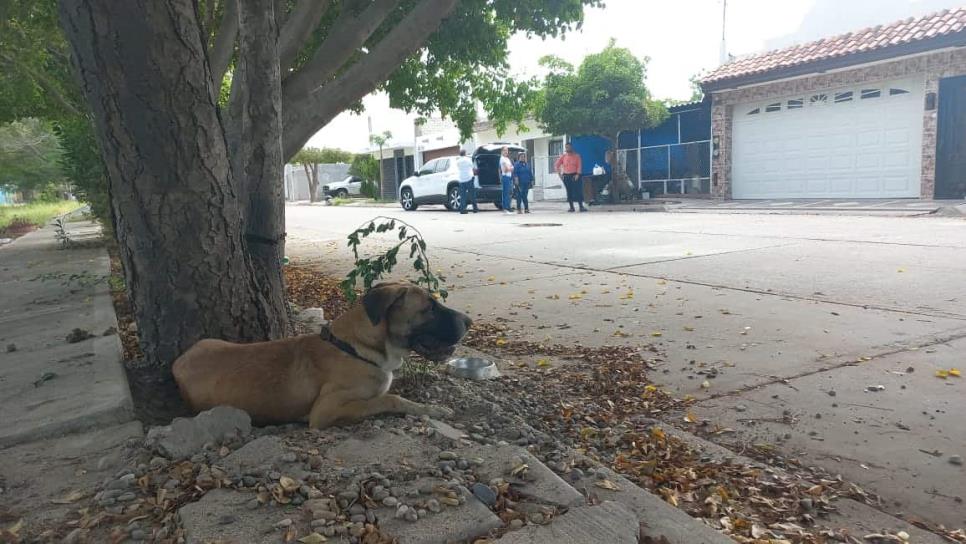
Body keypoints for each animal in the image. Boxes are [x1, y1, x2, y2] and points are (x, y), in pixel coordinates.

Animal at [175, 280, 476, 430]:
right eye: (430, 308)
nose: (470, 321)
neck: (356, 347)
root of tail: (178, 363)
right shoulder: (325, 411)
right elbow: (390, 399)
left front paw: (433, 408)